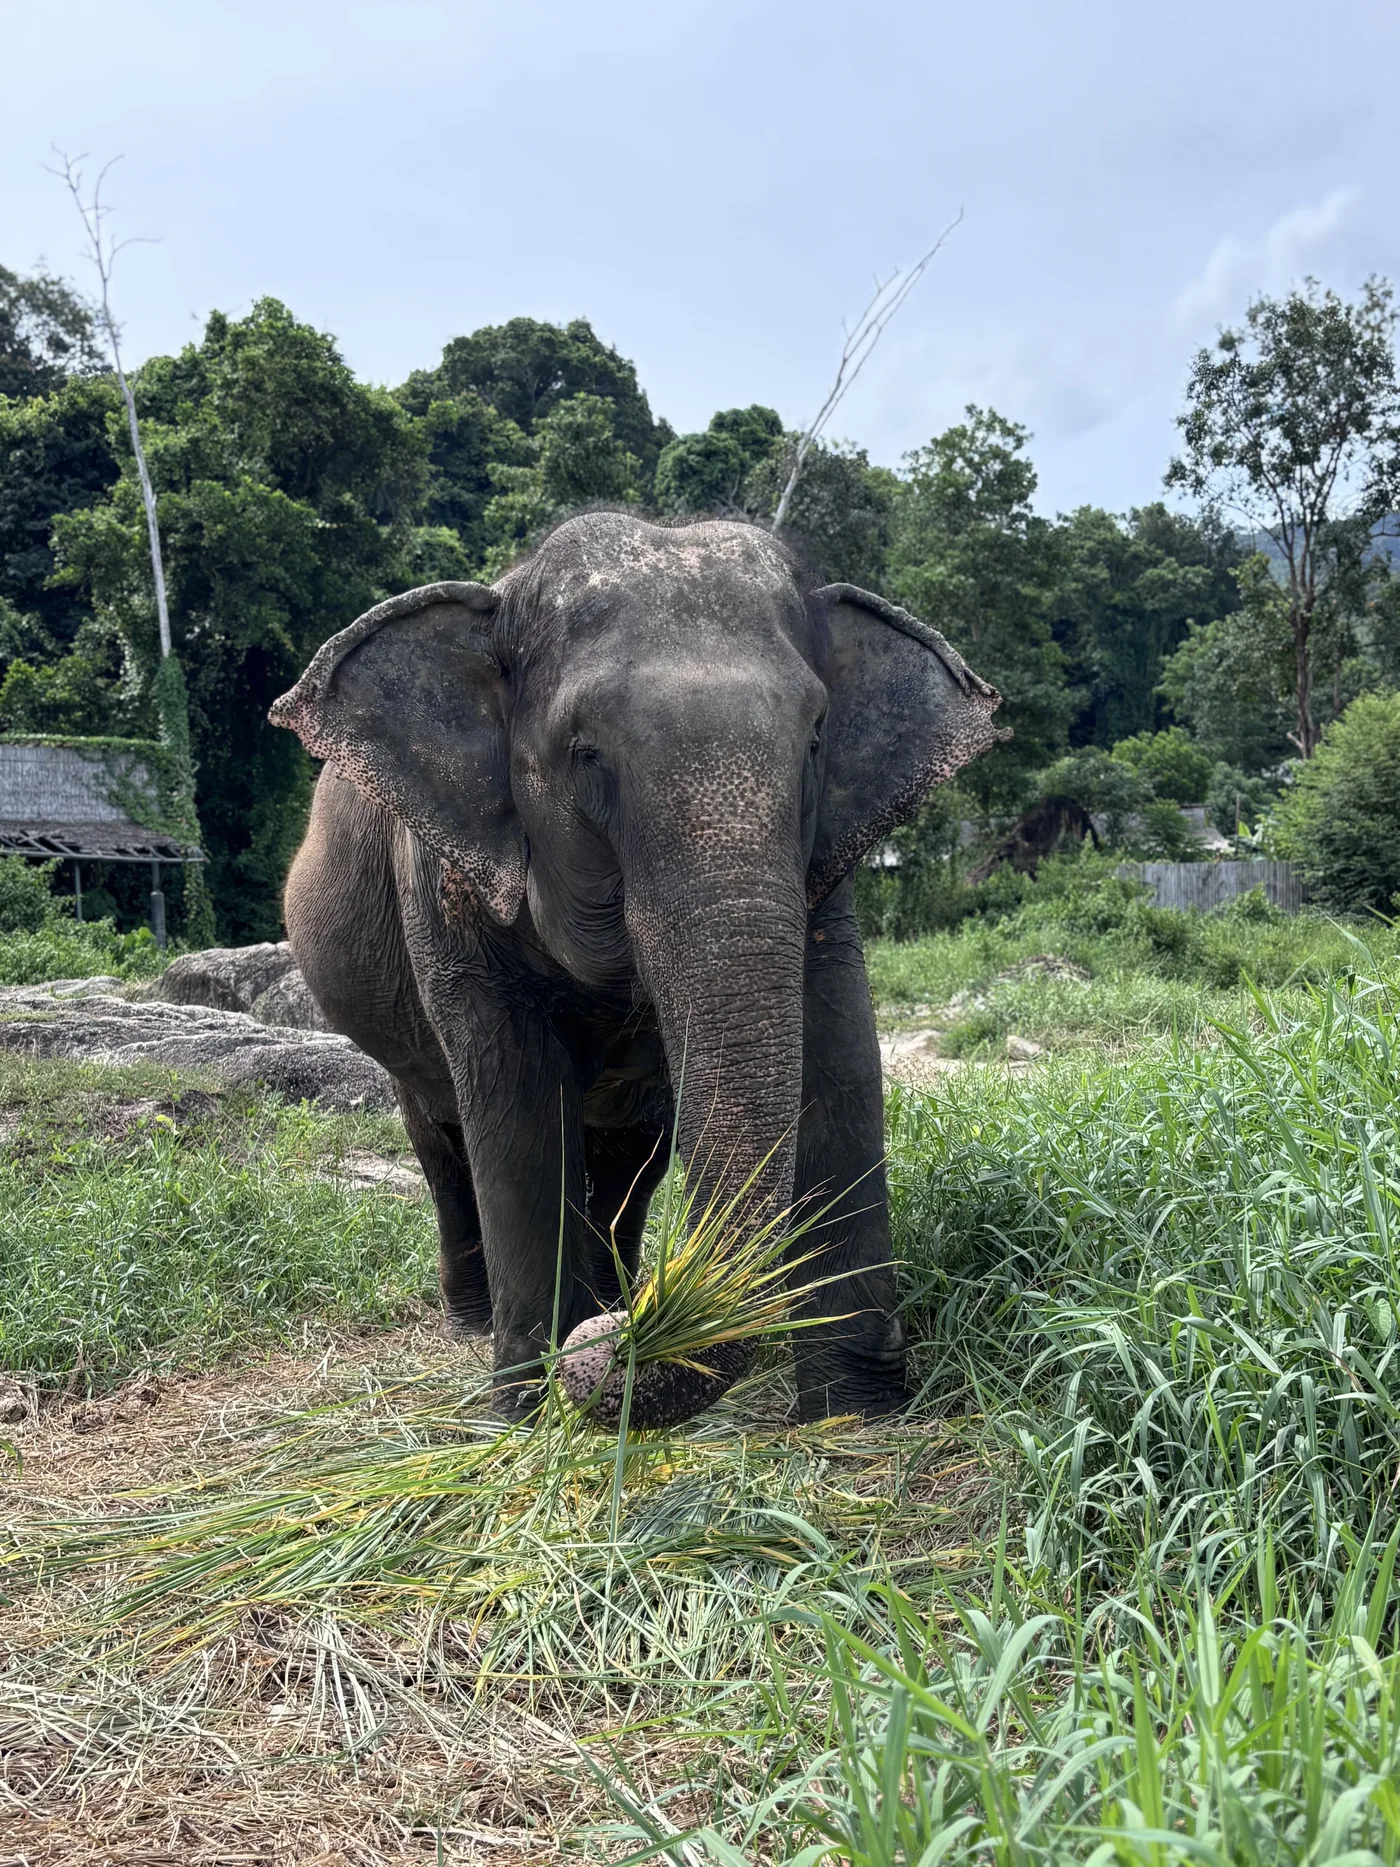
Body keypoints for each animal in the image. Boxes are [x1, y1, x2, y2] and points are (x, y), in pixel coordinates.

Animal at [270, 512, 1002, 1430]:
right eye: (585, 752)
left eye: (815, 738)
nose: (610, 1347)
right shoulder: (445, 885)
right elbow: (515, 1106)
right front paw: (526, 1409)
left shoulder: (824, 870)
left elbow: (840, 1059)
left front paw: (856, 1413)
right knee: (439, 1135)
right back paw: (488, 1321)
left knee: (627, 1156)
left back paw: (607, 1292)